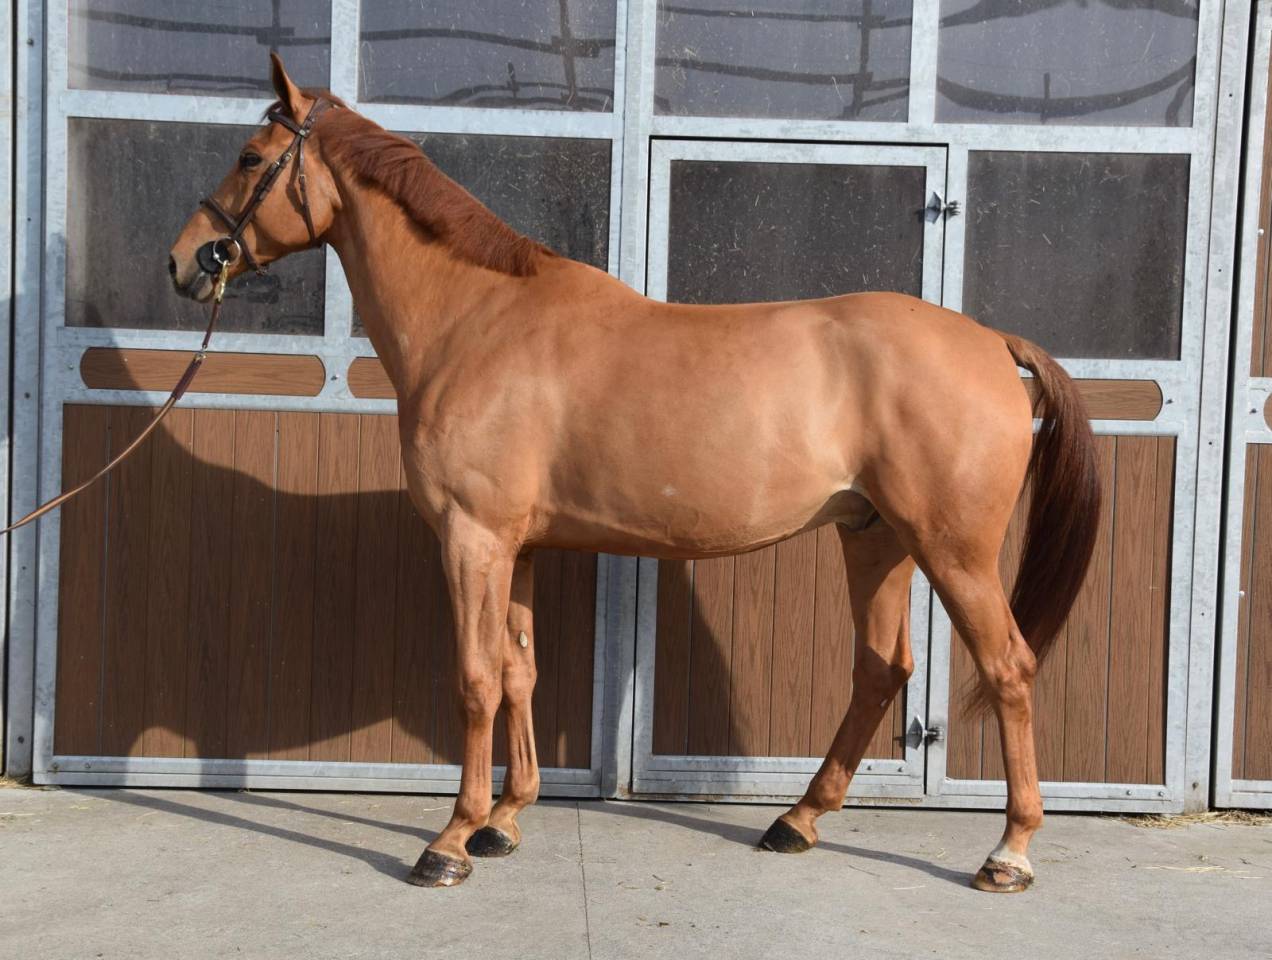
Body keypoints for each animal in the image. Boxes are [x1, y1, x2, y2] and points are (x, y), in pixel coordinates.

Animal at [168, 54, 1100, 892]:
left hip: (953, 552)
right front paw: (506, 821)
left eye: (249, 157)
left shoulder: (473, 539)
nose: (186, 261)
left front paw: (451, 841)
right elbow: (519, 673)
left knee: (1009, 667)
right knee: (879, 672)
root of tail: (990, 341)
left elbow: (474, 680)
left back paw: (1008, 853)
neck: (476, 320)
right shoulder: (518, 548)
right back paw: (797, 822)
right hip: (877, 541)